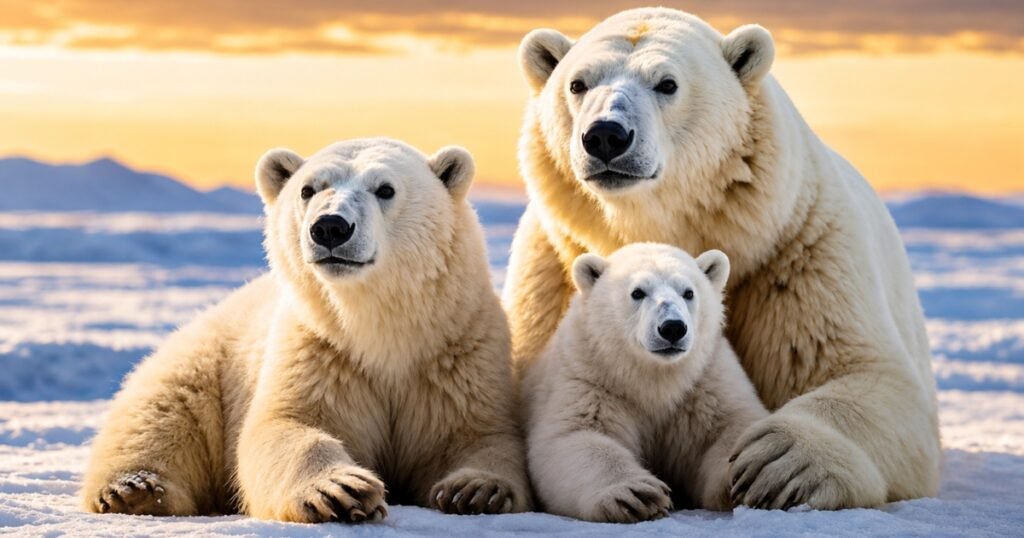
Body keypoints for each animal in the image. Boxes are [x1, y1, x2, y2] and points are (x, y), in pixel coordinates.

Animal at [81, 138, 532, 522]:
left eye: (385, 189)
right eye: (308, 189)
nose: (331, 226)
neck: (378, 329)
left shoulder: (455, 353)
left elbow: (475, 433)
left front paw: (475, 491)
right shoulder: (319, 349)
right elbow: (287, 425)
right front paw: (339, 491)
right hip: (207, 359)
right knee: (161, 412)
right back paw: (133, 489)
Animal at [522, 243, 768, 522]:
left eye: (688, 292)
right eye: (637, 292)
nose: (672, 328)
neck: (652, 379)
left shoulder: (705, 382)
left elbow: (733, 425)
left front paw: (748, 478)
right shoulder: (588, 378)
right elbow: (573, 435)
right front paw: (636, 495)